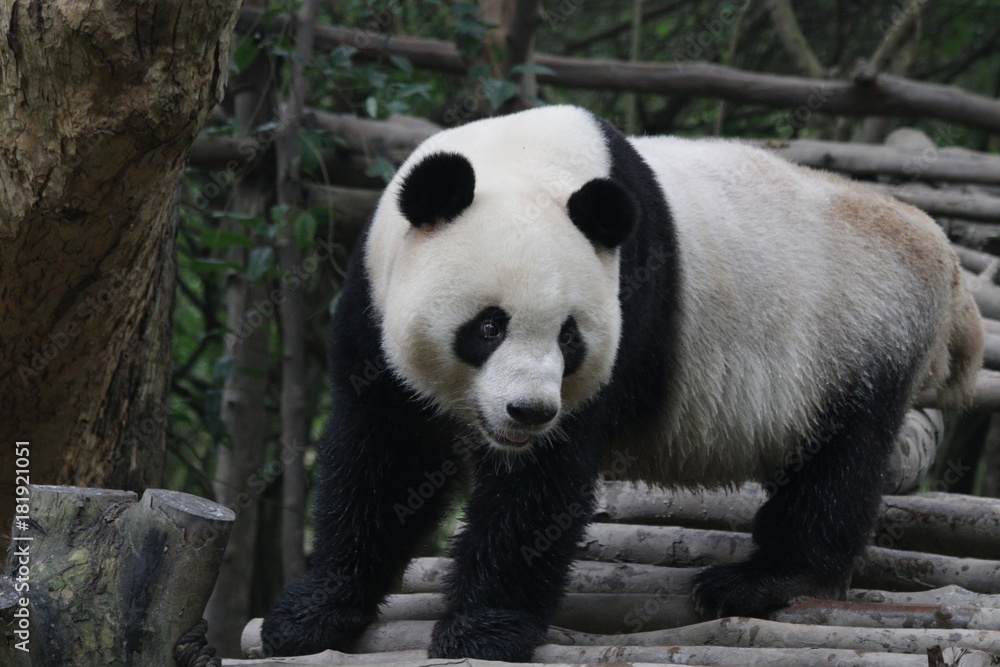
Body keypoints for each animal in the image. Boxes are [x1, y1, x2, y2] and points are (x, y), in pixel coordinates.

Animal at [262, 105, 983, 661]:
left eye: (569, 337)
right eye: (488, 325)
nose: (527, 411)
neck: (522, 160)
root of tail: (943, 260)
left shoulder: (628, 303)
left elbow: (541, 488)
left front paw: (483, 632)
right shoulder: (374, 298)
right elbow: (385, 458)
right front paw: (307, 615)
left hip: (858, 337)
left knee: (836, 466)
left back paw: (764, 581)